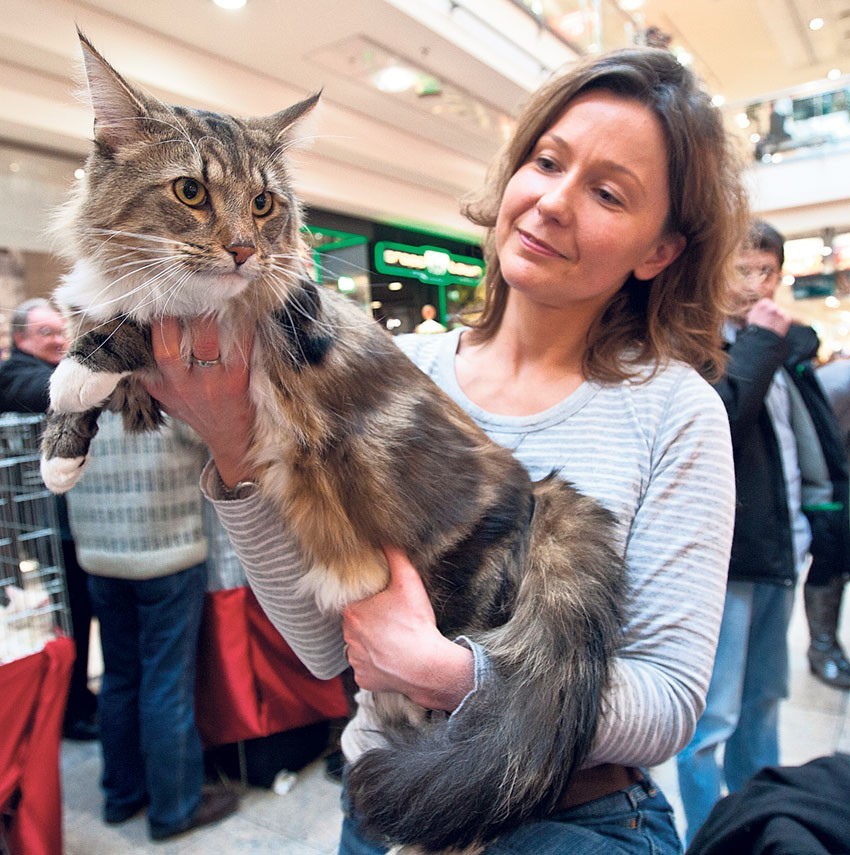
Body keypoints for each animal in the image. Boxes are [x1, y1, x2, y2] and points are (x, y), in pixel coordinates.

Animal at [41, 33, 624, 855]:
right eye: (190, 192)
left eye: (263, 203)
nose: (242, 249)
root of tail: (537, 488)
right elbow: (101, 325)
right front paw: (62, 449)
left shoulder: (284, 312)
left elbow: (124, 331)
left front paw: (77, 376)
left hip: (456, 621)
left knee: (454, 741)